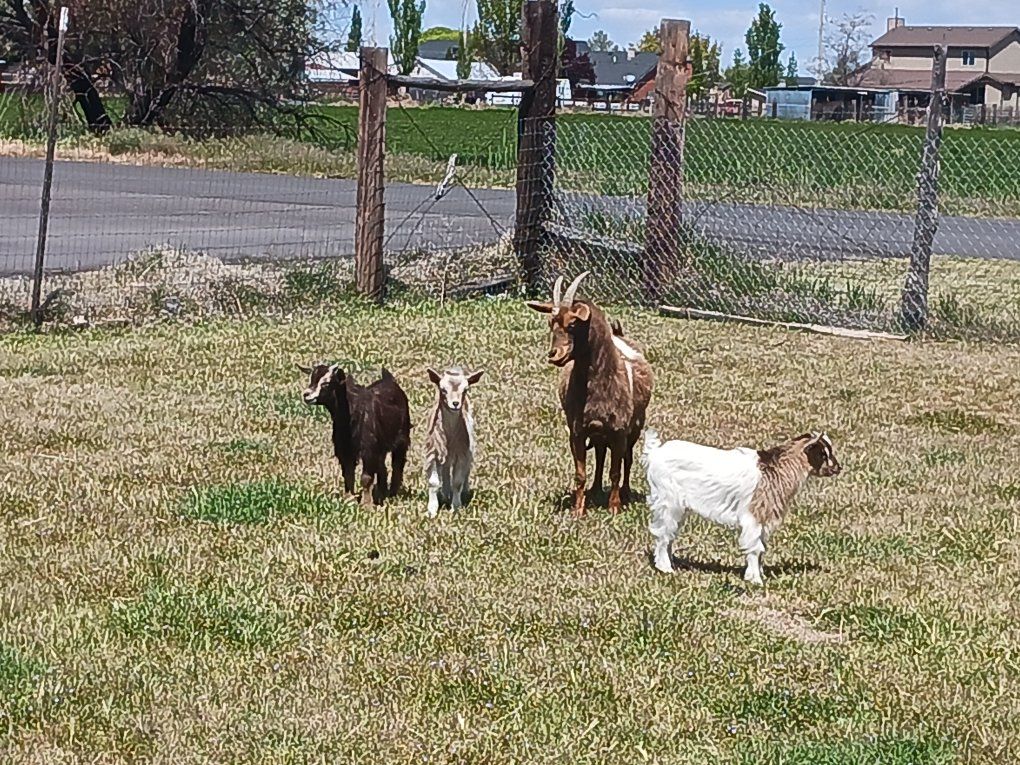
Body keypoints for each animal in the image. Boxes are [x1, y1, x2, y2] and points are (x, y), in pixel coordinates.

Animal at [299, 364, 411, 506]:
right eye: (311, 379)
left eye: (326, 383)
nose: (306, 394)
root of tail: (389, 380)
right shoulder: (345, 449)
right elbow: (348, 474)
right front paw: (349, 499)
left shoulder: (368, 449)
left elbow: (366, 477)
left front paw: (366, 505)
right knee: (382, 467)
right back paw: (382, 493)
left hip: (402, 438)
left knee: (397, 464)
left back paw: (392, 494)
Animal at [423, 366, 484, 517]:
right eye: (442, 389)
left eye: (466, 389)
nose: (455, 404)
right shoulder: (433, 452)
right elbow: (433, 482)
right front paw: (432, 510)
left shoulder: (462, 453)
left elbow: (457, 482)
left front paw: (455, 507)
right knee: (445, 471)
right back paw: (445, 494)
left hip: (469, 448)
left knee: (466, 470)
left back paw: (464, 492)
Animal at [527, 271, 653, 517]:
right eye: (550, 323)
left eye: (573, 323)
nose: (554, 354)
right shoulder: (577, 431)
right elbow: (580, 473)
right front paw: (578, 510)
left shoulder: (619, 431)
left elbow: (616, 471)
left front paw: (614, 507)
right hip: (597, 433)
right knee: (601, 455)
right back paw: (595, 490)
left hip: (634, 427)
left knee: (628, 458)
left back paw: (624, 492)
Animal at [643, 429, 841, 585]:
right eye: (823, 453)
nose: (838, 468)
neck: (777, 469)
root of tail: (655, 453)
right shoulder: (754, 516)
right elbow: (755, 547)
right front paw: (755, 579)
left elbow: (761, 547)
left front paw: (759, 574)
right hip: (668, 500)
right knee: (663, 533)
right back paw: (665, 567)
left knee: (669, 533)